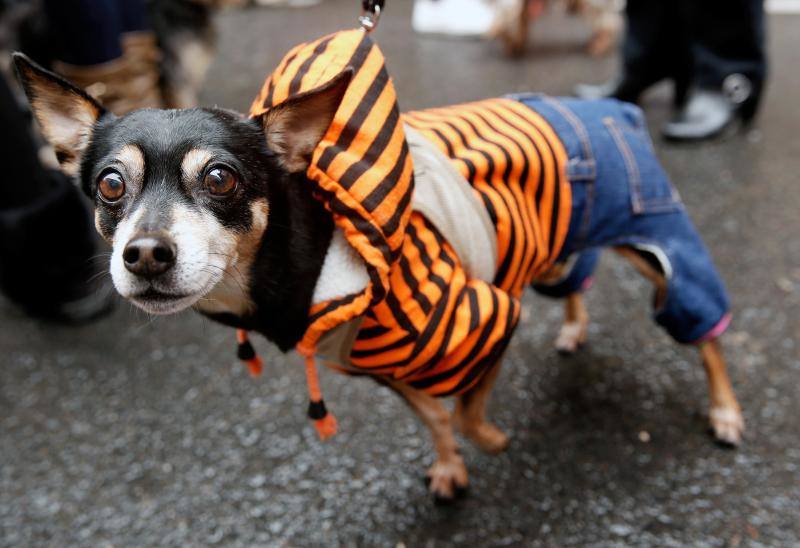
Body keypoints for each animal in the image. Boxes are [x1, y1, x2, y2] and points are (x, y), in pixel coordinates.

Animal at [12, 28, 744, 500]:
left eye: (220, 178)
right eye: (109, 186)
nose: (143, 253)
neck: (310, 262)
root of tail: (609, 105)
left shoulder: (491, 319)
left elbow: (468, 414)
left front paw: (494, 442)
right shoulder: (380, 367)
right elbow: (436, 418)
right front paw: (450, 468)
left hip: (656, 242)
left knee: (706, 334)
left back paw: (726, 412)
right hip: (555, 244)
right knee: (577, 281)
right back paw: (572, 327)